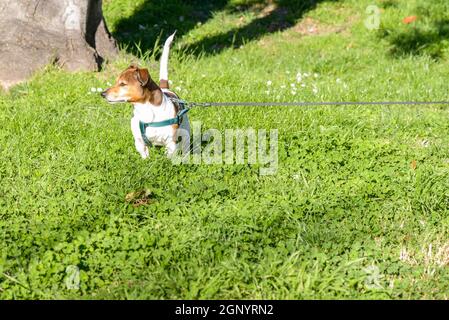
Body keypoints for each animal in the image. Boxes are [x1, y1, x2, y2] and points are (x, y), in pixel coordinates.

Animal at [101, 31, 189, 159]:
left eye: (123, 84)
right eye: (116, 82)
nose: (102, 94)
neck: (145, 109)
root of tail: (166, 88)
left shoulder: (170, 143)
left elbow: (169, 157)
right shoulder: (139, 142)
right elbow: (144, 155)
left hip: (186, 131)